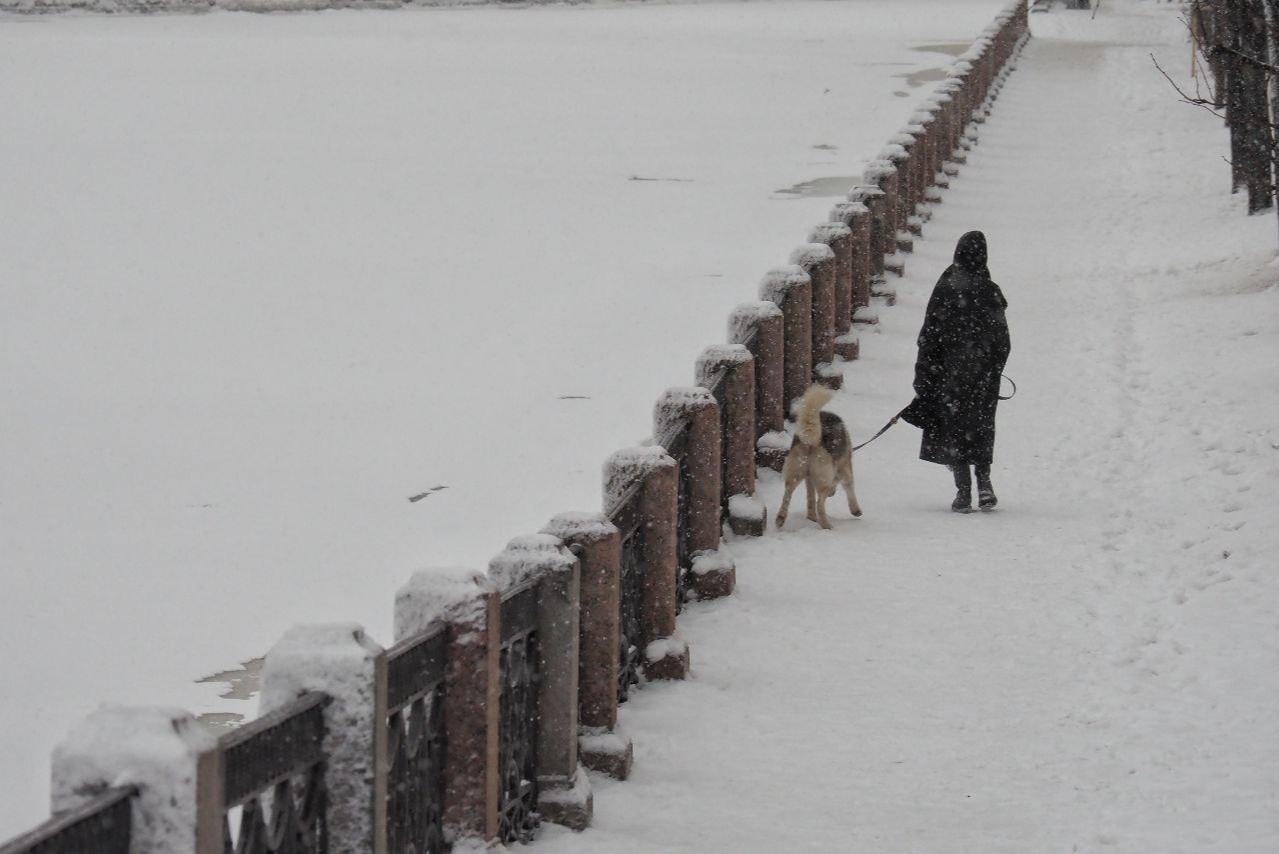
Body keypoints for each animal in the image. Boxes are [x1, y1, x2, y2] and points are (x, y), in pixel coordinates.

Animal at [772, 386, 864, 529]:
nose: (832, 493)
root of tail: (812, 441)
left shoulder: (809, 478)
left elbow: (810, 498)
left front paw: (811, 517)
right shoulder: (845, 469)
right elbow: (849, 489)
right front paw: (856, 511)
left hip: (795, 474)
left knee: (787, 494)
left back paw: (781, 519)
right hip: (823, 480)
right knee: (820, 502)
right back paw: (826, 524)